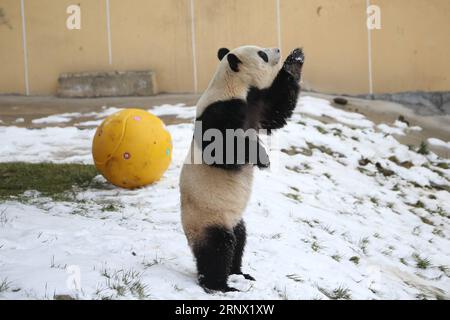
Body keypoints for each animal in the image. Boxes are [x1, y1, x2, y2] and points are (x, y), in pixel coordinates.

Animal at [178, 45, 302, 292]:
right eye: (262, 54)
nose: (277, 49)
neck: (233, 84)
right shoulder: (218, 110)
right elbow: (220, 149)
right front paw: (262, 158)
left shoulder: (256, 104)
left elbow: (277, 110)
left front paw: (294, 60)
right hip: (207, 219)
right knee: (218, 249)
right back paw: (219, 285)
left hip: (233, 218)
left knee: (240, 241)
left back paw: (240, 273)